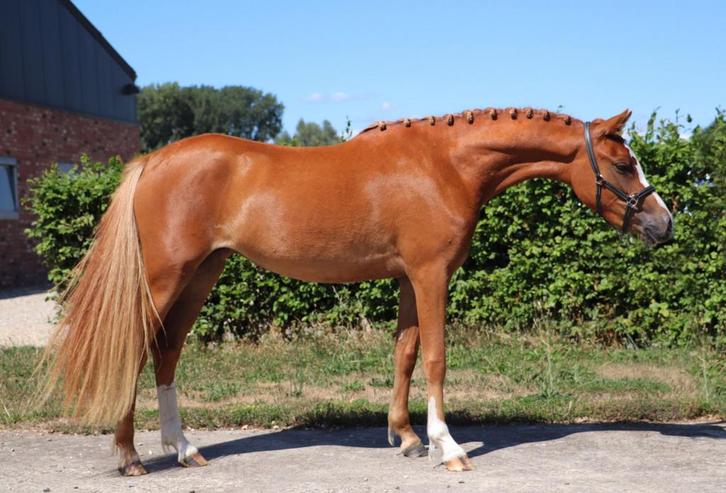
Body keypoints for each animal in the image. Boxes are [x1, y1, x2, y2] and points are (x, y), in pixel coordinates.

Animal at [42, 107, 673, 475]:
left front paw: (407, 437)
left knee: (166, 351)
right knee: (135, 347)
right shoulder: (431, 274)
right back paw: (130, 457)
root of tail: (152, 161)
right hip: (167, 276)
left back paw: (184, 449)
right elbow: (437, 356)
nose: (664, 226)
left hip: (203, 273)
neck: (443, 165)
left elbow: (405, 353)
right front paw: (448, 447)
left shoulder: (409, 278)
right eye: (623, 165)